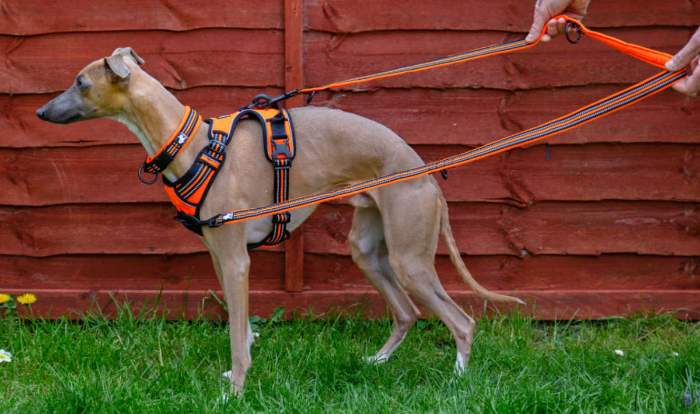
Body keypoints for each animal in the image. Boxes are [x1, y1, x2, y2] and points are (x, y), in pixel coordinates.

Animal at [35, 47, 524, 394]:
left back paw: (458, 381)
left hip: (409, 258)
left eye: (80, 82)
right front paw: (237, 370)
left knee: (462, 321)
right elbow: (240, 324)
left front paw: (235, 388)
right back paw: (377, 362)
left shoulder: (236, 260)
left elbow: (236, 337)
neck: (191, 144)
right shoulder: (220, 257)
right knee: (407, 312)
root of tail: (425, 172)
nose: (40, 113)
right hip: (369, 251)